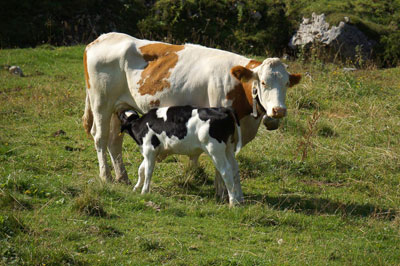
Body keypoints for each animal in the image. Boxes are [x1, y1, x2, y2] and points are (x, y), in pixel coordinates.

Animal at [81, 32, 300, 195]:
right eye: (263, 82)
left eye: (286, 84)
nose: (279, 111)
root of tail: (100, 39)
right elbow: (220, 165)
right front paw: (221, 193)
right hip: (101, 103)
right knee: (100, 138)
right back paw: (106, 176)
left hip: (119, 106)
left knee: (114, 141)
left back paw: (122, 177)